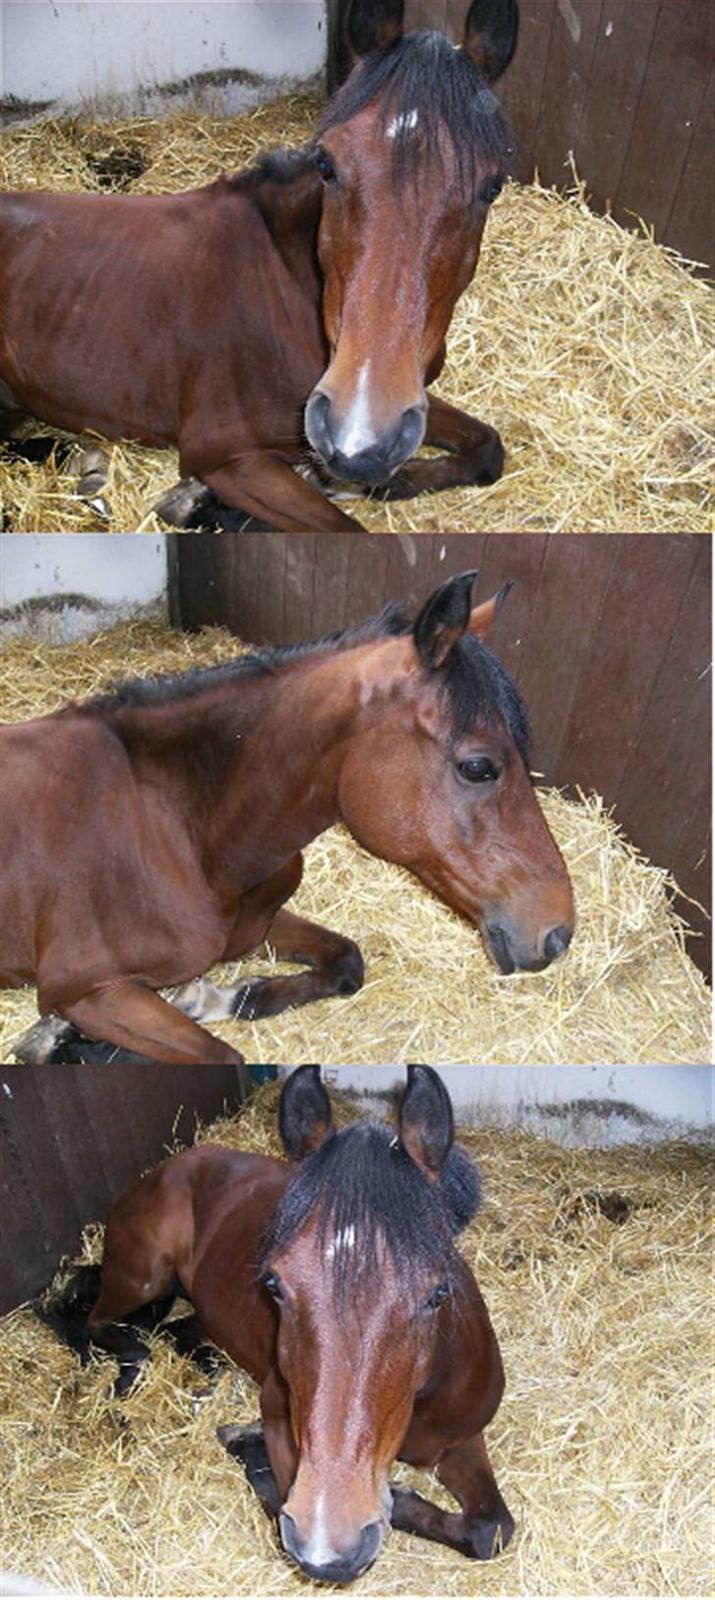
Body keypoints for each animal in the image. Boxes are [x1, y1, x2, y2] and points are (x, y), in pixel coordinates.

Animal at [0, 0, 521, 537]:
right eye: (326, 165)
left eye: (493, 186)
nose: (359, 435)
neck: (288, 291)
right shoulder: (228, 458)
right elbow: (346, 530)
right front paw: (195, 502)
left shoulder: (403, 407)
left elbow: (487, 448)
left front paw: (377, 482)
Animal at [1, 569, 575, 1068]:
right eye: (478, 767)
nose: (557, 934)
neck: (181, 830)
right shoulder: (90, 990)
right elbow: (220, 1055)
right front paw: (54, 1040)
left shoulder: (256, 926)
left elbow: (347, 961)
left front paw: (223, 997)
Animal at [40, 1068, 515, 1580]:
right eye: (274, 1283)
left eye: (438, 1292)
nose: (332, 1544)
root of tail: (170, 1166)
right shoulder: (279, 1417)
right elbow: (281, 1496)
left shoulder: (460, 1439)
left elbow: (492, 1530)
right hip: (144, 1276)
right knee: (101, 1322)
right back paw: (132, 1367)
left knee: (175, 1330)